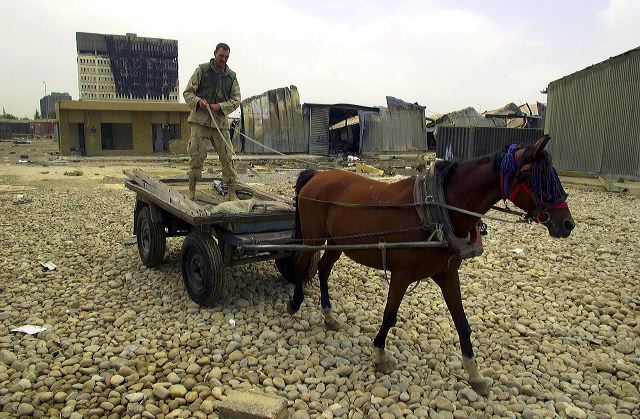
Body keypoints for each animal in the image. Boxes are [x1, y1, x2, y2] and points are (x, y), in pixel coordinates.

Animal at [288, 136, 576, 396]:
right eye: (538, 176)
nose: (567, 224)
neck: (437, 211)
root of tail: (316, 175)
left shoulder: (448, 275)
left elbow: (462, 322)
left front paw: (475, 375)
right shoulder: (401, 274)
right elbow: (389, 315)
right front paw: (380, 354)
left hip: (337, 243)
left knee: (324, 270)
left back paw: (328, 315)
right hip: (314, 238)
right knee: (302, 264)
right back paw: (295, 302)